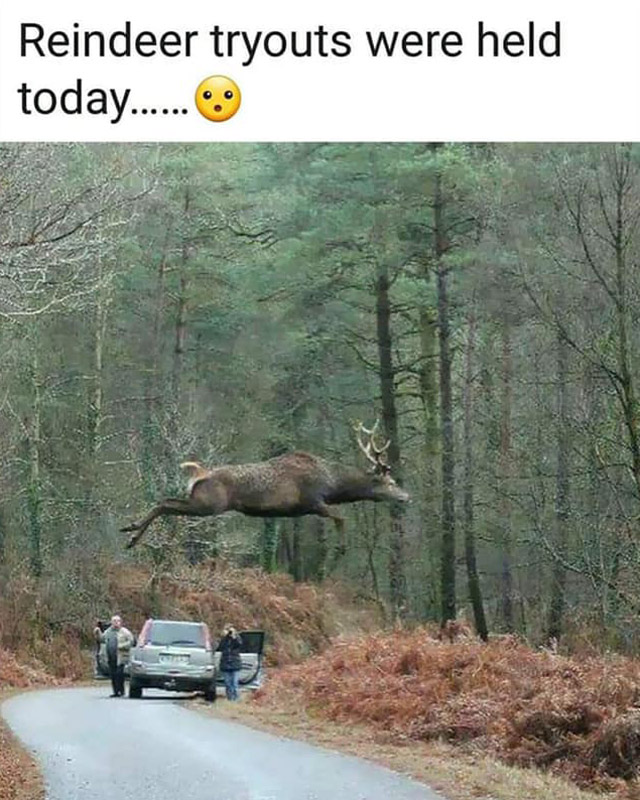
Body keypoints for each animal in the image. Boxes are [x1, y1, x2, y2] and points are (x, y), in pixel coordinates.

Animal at [120, 421, 409, 552]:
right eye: (391, 482)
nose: (406, 497)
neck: (332, 483)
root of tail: (200, 473)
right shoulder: (312, 500)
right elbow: (340, 517)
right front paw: (341, 548)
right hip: (208, 503)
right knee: (165, 503)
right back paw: (132, 533)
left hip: (201, 502)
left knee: (166, 502)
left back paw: (131, 533)